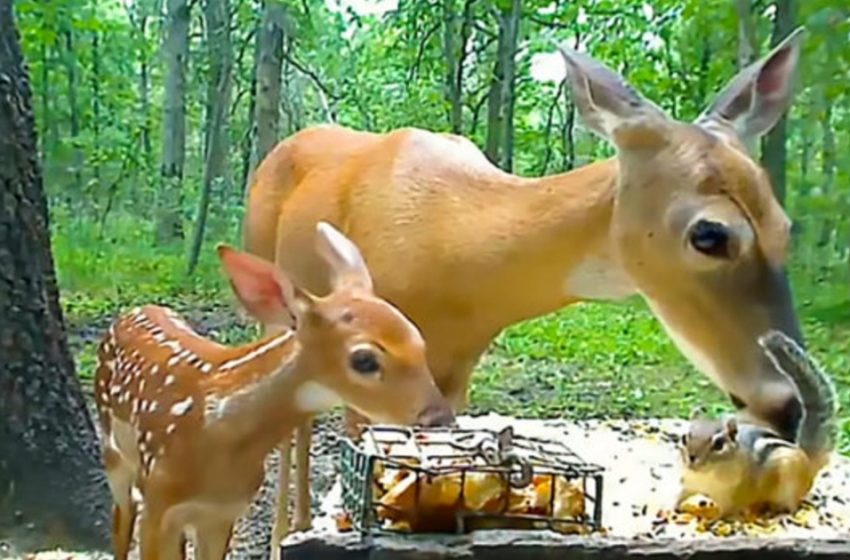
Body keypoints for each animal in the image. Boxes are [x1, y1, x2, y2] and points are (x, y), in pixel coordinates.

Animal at [93, 222, 454, 560]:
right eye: (364, 359)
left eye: (419, 341)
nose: (440, 418)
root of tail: (133, 311)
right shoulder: (157, 500)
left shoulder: (223, 512)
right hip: (114, 452)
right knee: (121, 518)